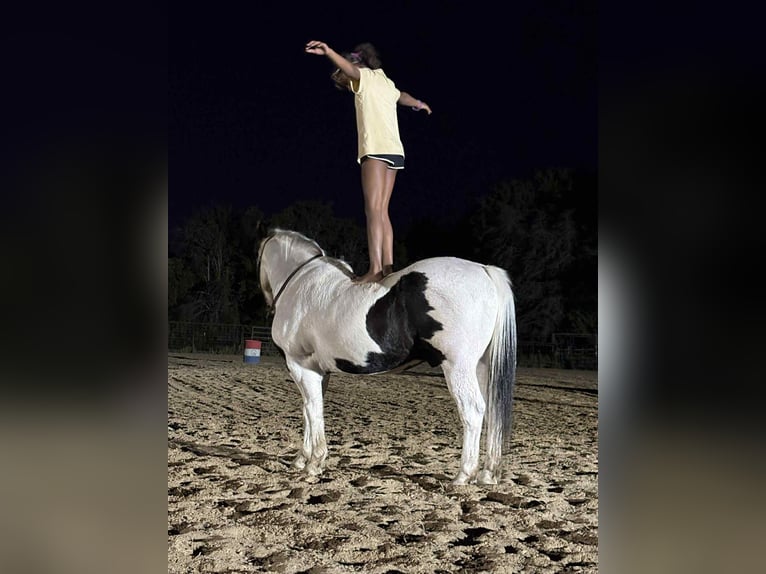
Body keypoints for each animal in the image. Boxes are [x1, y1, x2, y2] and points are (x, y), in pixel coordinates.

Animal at [257, 229, 517, 485]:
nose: (268, 304)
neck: (300, 283)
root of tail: (484, 270)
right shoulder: (318, 371)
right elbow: (311, 410)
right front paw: (303, 459)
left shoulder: (300, 365)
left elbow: (312, 410)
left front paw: (313, 463)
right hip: (481, 367)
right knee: (492, 411)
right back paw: (488, 473)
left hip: (458, 367)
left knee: (472, 411)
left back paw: (464, 474)